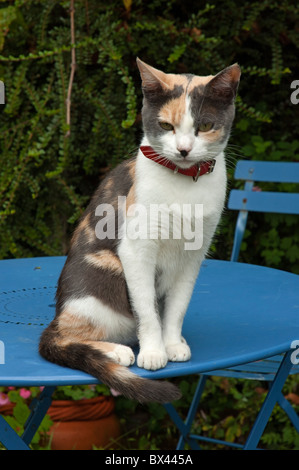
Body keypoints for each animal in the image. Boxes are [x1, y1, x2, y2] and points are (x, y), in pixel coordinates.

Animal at [39, 57, 241, 404]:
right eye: (166, 126)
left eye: (204, 126)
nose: (184, 150)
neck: (184, 184)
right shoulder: (136, 250)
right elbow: (147, 308)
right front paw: (154, 351)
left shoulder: (194, 256)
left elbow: (177, 307)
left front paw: (171, 344)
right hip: (103, 275)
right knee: (63, 337)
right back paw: (116, 352)